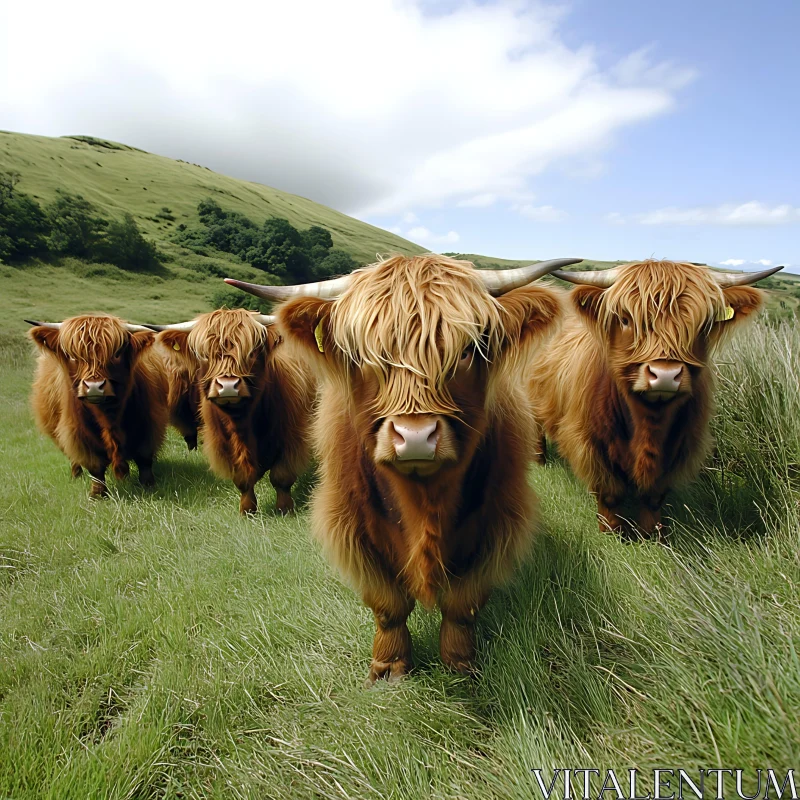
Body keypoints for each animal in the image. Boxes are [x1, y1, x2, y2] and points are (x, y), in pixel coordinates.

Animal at [27, 316, 169, 496]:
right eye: (71, 356)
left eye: (117, 353)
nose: (94, 386)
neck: (109, 416)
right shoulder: (78, 433)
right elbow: (95, 466)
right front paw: (97, 494)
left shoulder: (150, 424)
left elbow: (144, 458)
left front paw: (149, 485)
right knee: (73, 458)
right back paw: (76, 475)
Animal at [145, 310, 314, 516]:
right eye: (204, 354)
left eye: (252, 351)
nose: (227, 386)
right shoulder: (223, 444)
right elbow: (242, 479)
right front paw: (247, 509)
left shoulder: (292, 439)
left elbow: (281, 476)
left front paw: (285, 509)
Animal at [228, 255, 580, 680]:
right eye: (361, 356)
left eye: (467, 349)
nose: (414, 437)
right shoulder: (352, 525)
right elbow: (388, 604)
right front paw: (389, 667)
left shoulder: (497, 524)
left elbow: (462, 604)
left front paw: (460, 664)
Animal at [532, 262, 780, 536]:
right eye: (626, 319)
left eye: (702, 325)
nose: (665, 375)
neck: (649, 422)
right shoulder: (589, 441)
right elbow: (609, 492)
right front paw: (612, 531)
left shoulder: (682, 444)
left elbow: (655, 495)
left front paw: (653, 533)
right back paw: (540, 461)